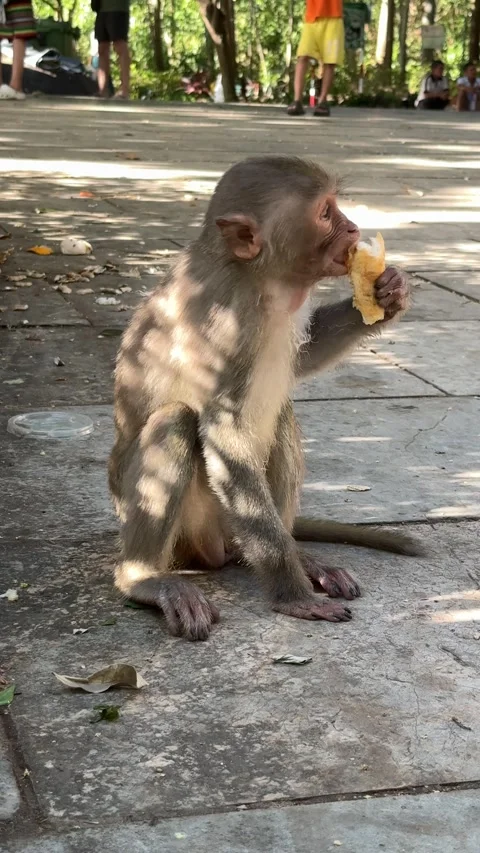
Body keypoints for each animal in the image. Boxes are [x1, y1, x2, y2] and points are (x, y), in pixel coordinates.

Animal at [108, 155, 423, 641]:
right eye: (326, 213)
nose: (354, 228)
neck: (262, 280)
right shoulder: (223, 323)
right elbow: (223, 430)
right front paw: (291, 595)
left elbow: (304, 356)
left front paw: (386, 295)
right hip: (193, 532)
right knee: (175, 419)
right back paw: (144, 578)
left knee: (281, 415)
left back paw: (301, 556)